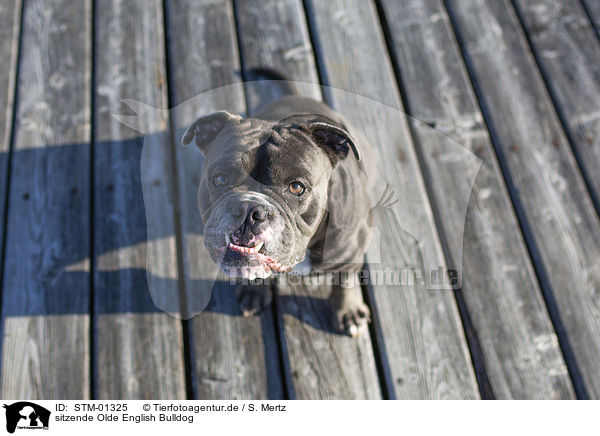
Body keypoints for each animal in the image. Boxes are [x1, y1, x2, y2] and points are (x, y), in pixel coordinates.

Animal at [182, 71, 376, 338]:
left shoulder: (351, 253)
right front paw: (254, 291)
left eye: (297, 187)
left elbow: (345, 280)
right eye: (221, 179)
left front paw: (347, 310)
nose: (249, 209)